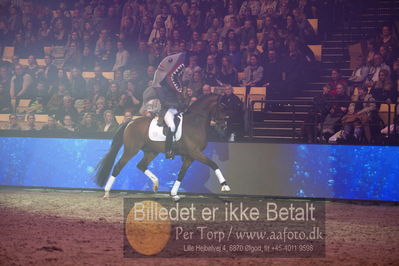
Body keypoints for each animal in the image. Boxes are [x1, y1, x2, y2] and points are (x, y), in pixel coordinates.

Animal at [94, 94, 231, 201]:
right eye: (222, 106)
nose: (224, 125)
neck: (194, 122)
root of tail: (131, 122)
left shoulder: (190, 156)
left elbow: (181, 174)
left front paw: (174, 194)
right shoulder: (195, 153)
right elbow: (213, 164)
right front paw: (225, 186)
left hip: (151, 151)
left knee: (141, 165)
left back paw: (156, 183)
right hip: (131, 150)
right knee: (118, 167)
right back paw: (106, 193)